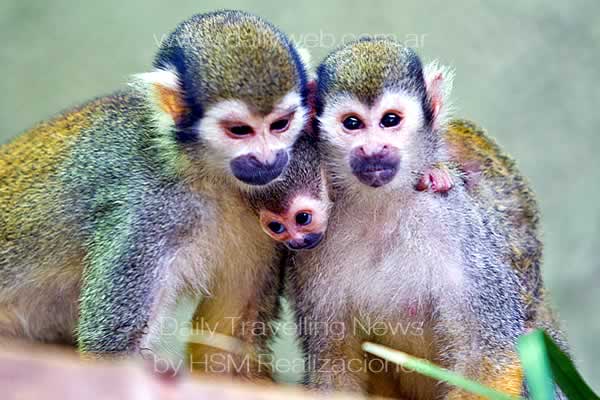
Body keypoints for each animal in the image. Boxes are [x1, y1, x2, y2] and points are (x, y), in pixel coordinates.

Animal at [0, 10, 314, 376]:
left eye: (281, 124)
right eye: (239, 131)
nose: (268, 159)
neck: (206, 176)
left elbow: (224, 347)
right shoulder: (146, 211)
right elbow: (112, 350)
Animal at [288, 38, 568, 400]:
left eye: (390, 120)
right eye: (352, 124)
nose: (373, 150)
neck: (381, 206)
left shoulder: (452, 221)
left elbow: (486, 358)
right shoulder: (313, 249)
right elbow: (333, 361)